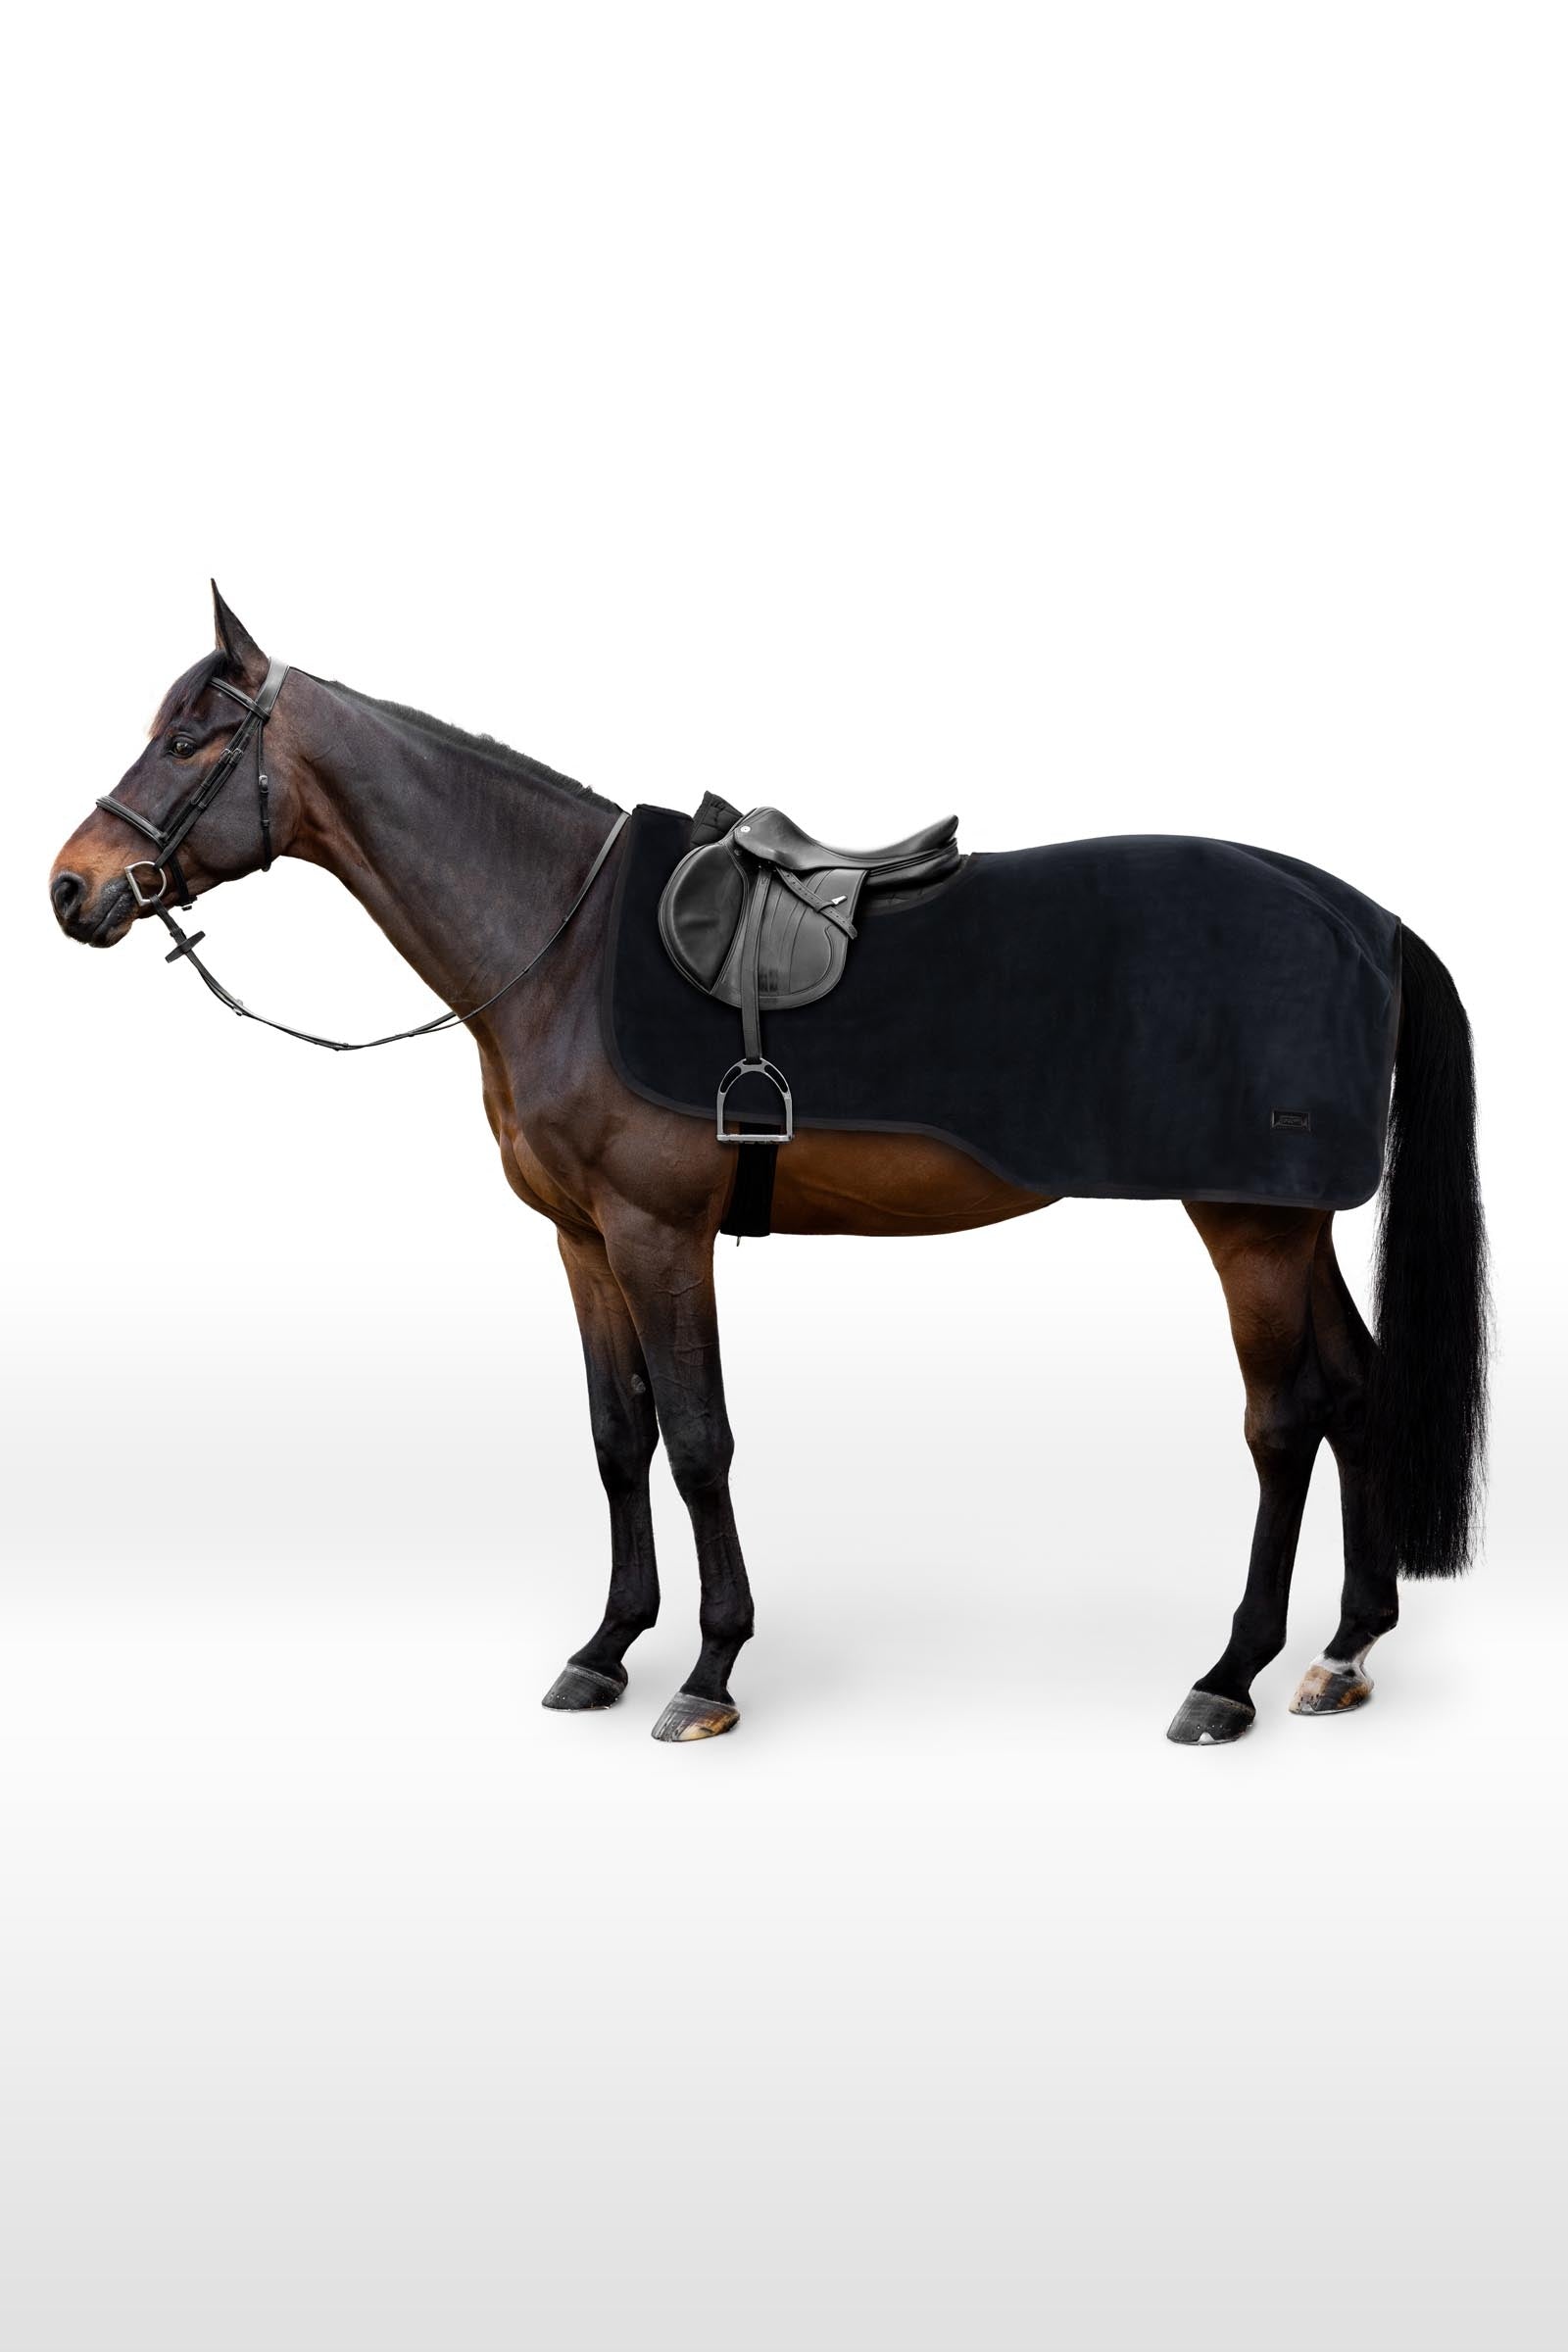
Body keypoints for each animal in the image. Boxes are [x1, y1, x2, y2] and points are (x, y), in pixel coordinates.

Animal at [49, 589, 1488, 1745]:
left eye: (192, 739)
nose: (72, 888)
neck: (559, 943)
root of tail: (1369, 921)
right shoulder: (583, 1241)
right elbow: (617, 1437)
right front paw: (606, 1649)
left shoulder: (658, 1232)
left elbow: (698, 1443)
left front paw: (709, 1671)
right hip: (1290, 1220)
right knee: (1355, 1392)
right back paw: (1344, 1653)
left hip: (1248, 1223)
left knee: (1283, 1421)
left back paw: (1231, 1676)